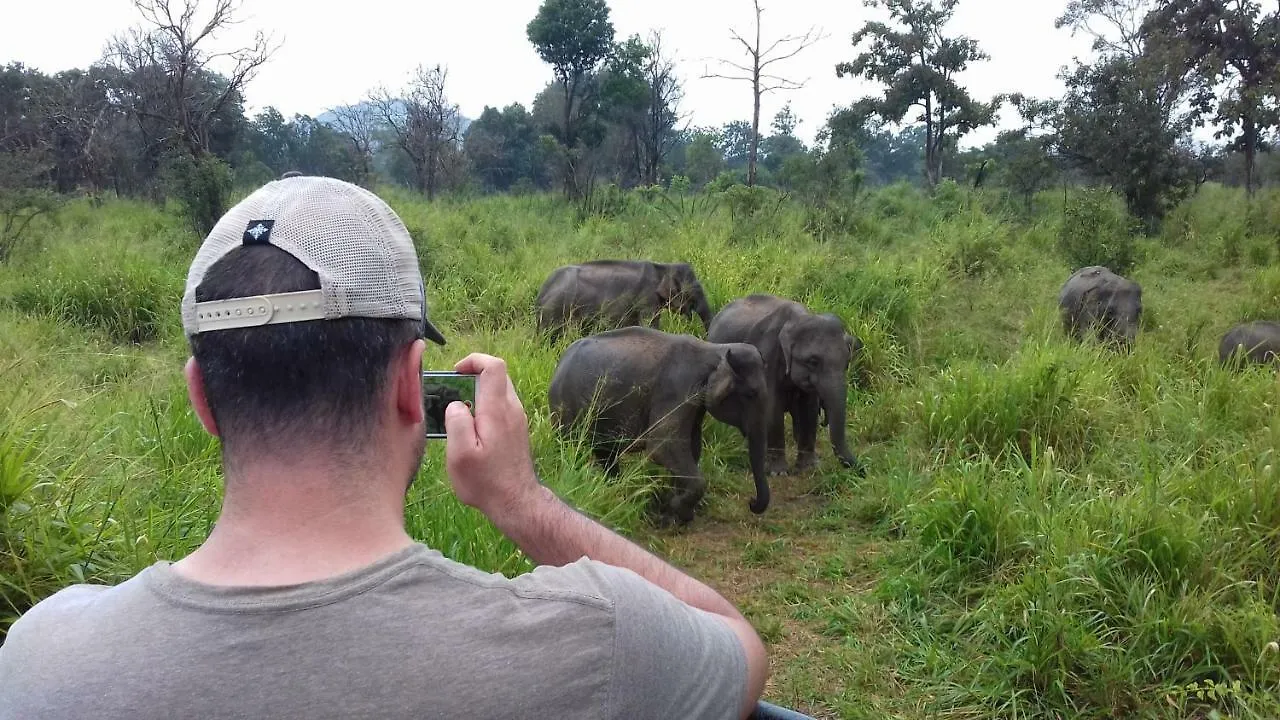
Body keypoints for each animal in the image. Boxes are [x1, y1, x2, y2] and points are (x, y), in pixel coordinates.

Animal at [529, 258, 711, 340]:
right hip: (555, 308)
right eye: (695, 290)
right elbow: (650, 325)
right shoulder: (647, 299)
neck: (663, 267)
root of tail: (542, 292)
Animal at [547, 325, 768, 520]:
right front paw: (678, 509)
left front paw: (673, 508)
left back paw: (617, 490)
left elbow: (691, 445)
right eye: (751, 394)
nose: (751, 502)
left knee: (605, 453)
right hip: (566, 410)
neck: (715, 350)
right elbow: (662, 446)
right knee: (573, 448)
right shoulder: (677, 389)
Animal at [706, 292, 865, 476]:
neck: (797, 319)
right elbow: (772, 407)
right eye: (813, 362)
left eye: (846, 363)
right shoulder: (766, 358)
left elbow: (809, 409)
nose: (864, 470)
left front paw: (808, 468)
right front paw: (778, 472)